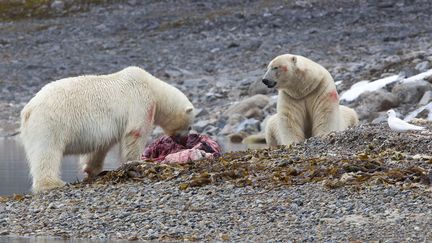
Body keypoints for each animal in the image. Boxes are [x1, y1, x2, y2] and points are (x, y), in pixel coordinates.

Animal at [20, 66, 195, 192]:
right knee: (46, 152)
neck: (153, 87)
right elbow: (135, 134)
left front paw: (92, 170)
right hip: (50, 123)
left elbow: (100, 147)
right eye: (190, 126)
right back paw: (52, 183)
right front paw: (137, 161)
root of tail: (29, 109)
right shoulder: (140, 102)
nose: (184, 141)